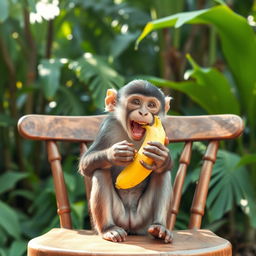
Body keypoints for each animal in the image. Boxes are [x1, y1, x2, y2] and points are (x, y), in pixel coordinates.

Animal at [79, 80, 173, 244]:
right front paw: (114, 154)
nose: (143, 113)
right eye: (136, 102)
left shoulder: (163, 130)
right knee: (100, 171)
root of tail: (131, 225)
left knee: (162, 173)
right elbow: (85, 164)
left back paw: (159, 228)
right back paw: (109, 229)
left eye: (151, 105)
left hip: (143, 221)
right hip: (119, 217)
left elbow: (165, 165)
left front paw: (162, 157)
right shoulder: (108, 126)